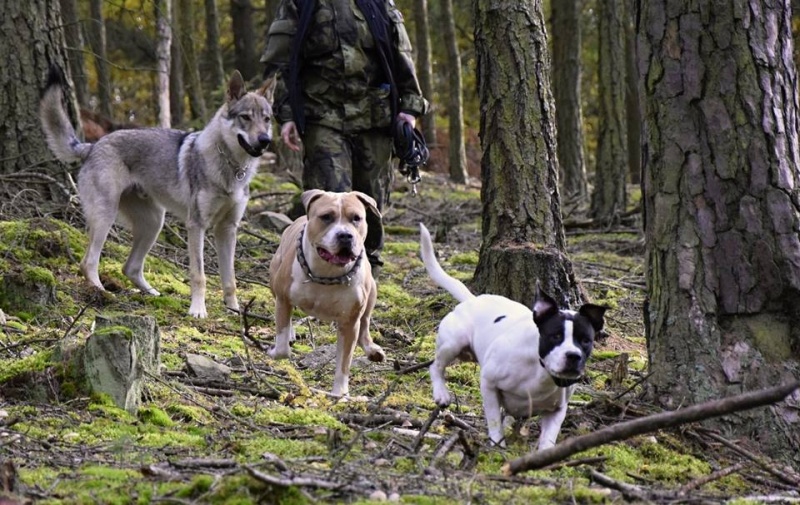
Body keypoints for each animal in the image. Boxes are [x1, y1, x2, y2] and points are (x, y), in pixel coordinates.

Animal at [418, 224, 608, 448]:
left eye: (585, 340)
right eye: (555, 336)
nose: (573, 356)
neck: (539, 369)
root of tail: (472, 300)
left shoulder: (557, 410)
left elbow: (548, 437)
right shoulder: (489, 384)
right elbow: (493, 419)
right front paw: (498, 445)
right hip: (453, 342)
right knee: (436, 366)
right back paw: (441, 393)